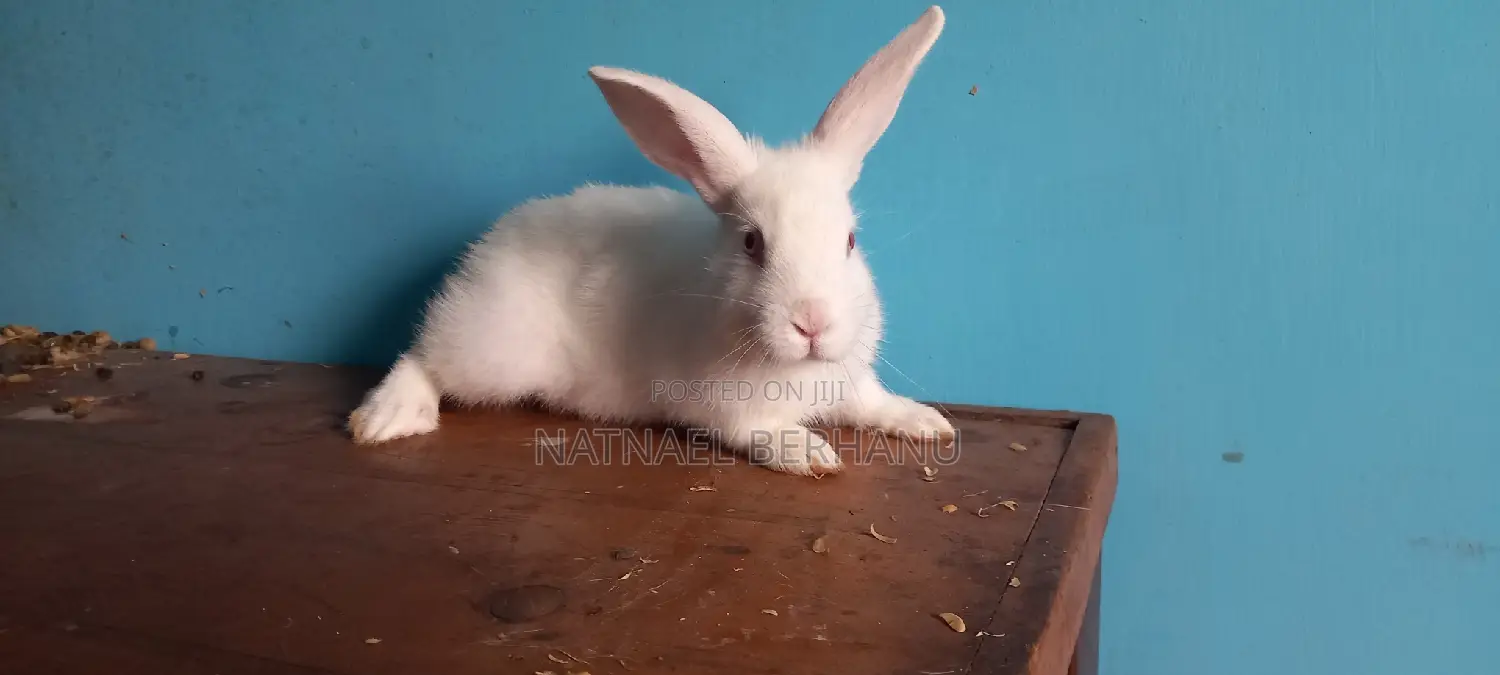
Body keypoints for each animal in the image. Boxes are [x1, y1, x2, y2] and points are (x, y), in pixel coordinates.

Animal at [348, 6, 955, 476]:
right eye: (752, 243)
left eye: (849, 240)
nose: (812, 322)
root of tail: (487, 245)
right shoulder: (727, 410)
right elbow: (761, 432)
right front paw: (810, 453)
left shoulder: (850, 382)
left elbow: (872, 402)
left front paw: (927, 421)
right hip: (495, 353)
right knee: (422, 356)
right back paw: (385, 418)